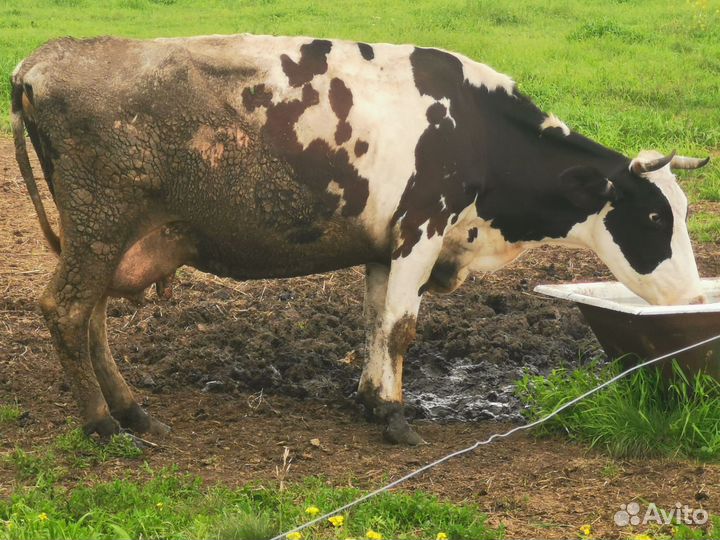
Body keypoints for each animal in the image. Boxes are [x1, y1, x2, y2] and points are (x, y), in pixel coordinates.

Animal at [12, 35, 709, 446]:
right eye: (656, 219)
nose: (693, 297)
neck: (476, 129)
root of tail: (43, 58)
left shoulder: (385, 247)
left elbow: (376, 325)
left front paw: (374, 400)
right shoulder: (420, 231)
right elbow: (401, 329)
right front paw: (397, 418)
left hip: (100, 235)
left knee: (91, 316)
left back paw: (130, 408)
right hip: (101, 223)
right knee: (67, 311)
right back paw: (102, 422)